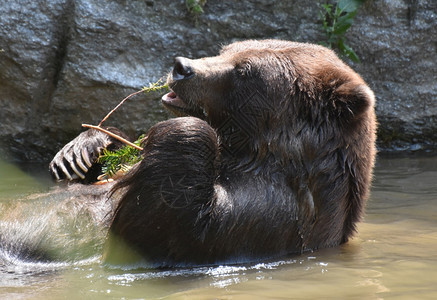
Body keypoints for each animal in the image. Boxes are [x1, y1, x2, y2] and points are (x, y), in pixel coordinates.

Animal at [48, 39, 374, 268]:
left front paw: (184, 129)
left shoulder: (268, 217)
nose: (181, 66)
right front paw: (81, 152)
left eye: (245, 71)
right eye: (226, 49)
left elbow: (164, 233)